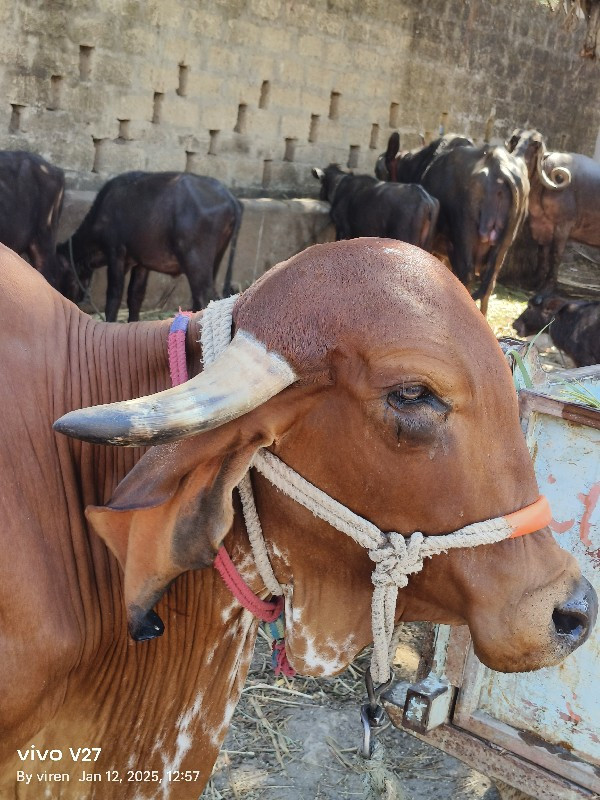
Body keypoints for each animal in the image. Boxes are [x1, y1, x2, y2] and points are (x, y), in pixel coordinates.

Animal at [56, 171, 244, 322]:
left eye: (60, 273)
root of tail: (229, 197)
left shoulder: (116, 254)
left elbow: (114, 296)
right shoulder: (141, 263)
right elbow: (135, 296)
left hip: (196, 263)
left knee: (203, 297)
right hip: (216, 260)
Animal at [506, 130, 600, 292]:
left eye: (535, 144)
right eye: (515, 140)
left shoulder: (564, 226)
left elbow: (555, 255)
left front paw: (546, 288)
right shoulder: (541, 226)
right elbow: (542, 253)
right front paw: (534, 282)